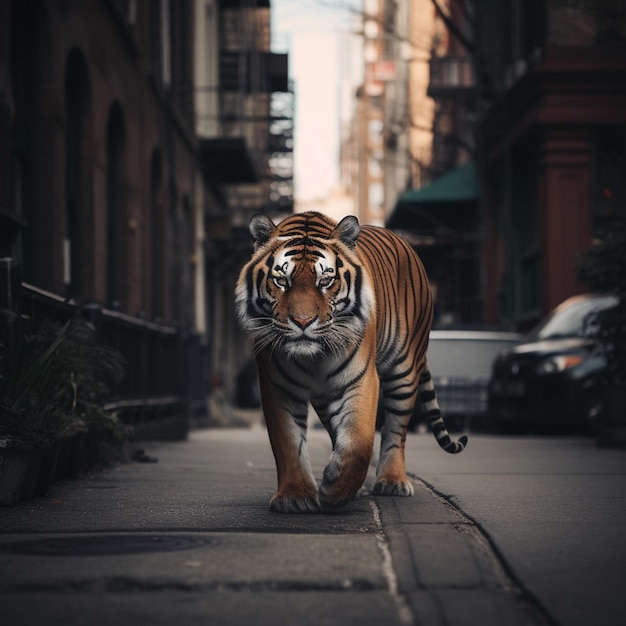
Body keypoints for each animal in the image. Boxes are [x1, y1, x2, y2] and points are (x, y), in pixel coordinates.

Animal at [234, 211, 464, 512]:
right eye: (282, 280)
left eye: (325, 281)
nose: (303, 322)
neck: (314, 359)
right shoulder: (277, 386)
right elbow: (288, 442)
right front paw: (295, 497)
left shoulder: (362, 379)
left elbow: (360, 440)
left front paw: (335, 490)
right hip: (325, 396)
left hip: (404, 370)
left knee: (396, 429)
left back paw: (392, 481)